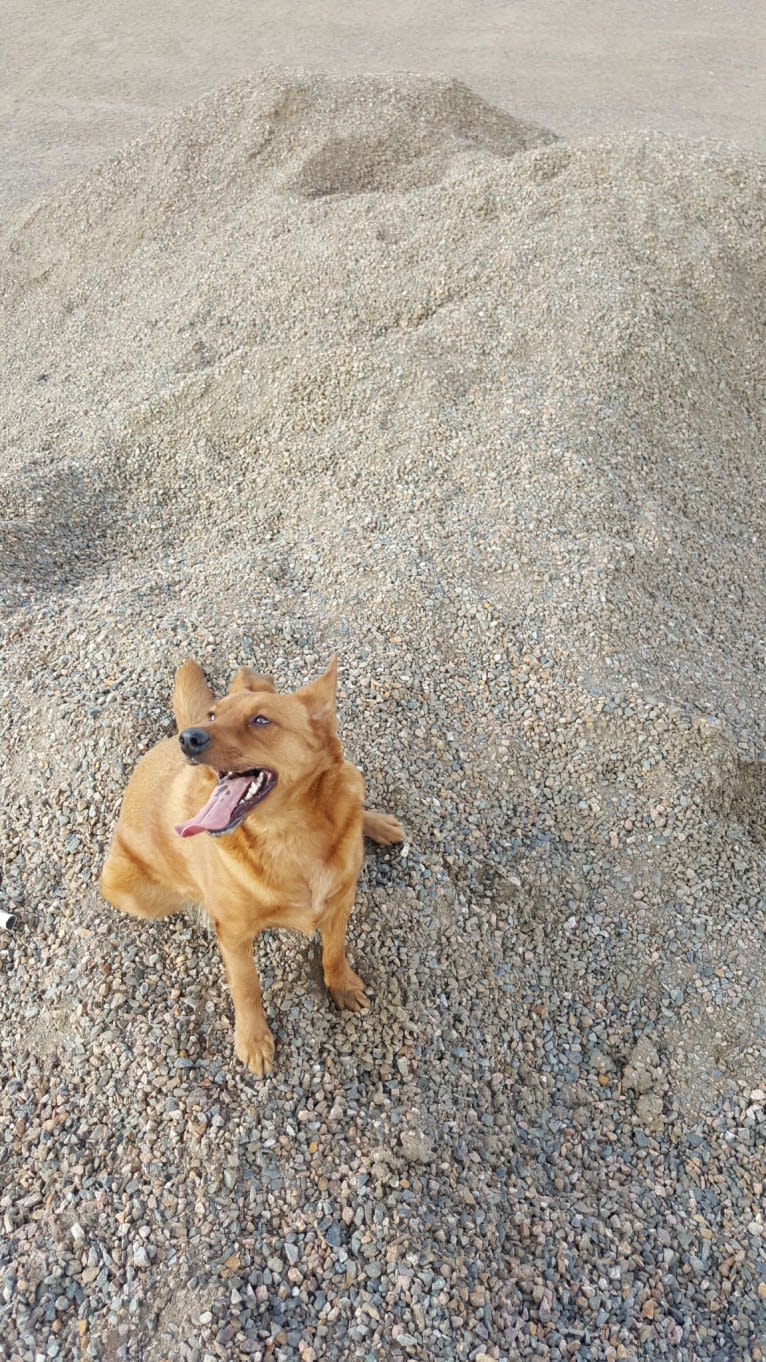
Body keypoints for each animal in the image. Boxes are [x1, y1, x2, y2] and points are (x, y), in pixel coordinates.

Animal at [100, 659, 406, 1073]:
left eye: (261, 720)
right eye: (214, 715)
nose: (190, 740)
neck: (289, 836)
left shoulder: (341, 902)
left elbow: (334, 951)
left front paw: (340, 984)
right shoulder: (234, 935)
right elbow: (247, 987)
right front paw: (254, 1039)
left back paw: (374, 822)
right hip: (136, 893)